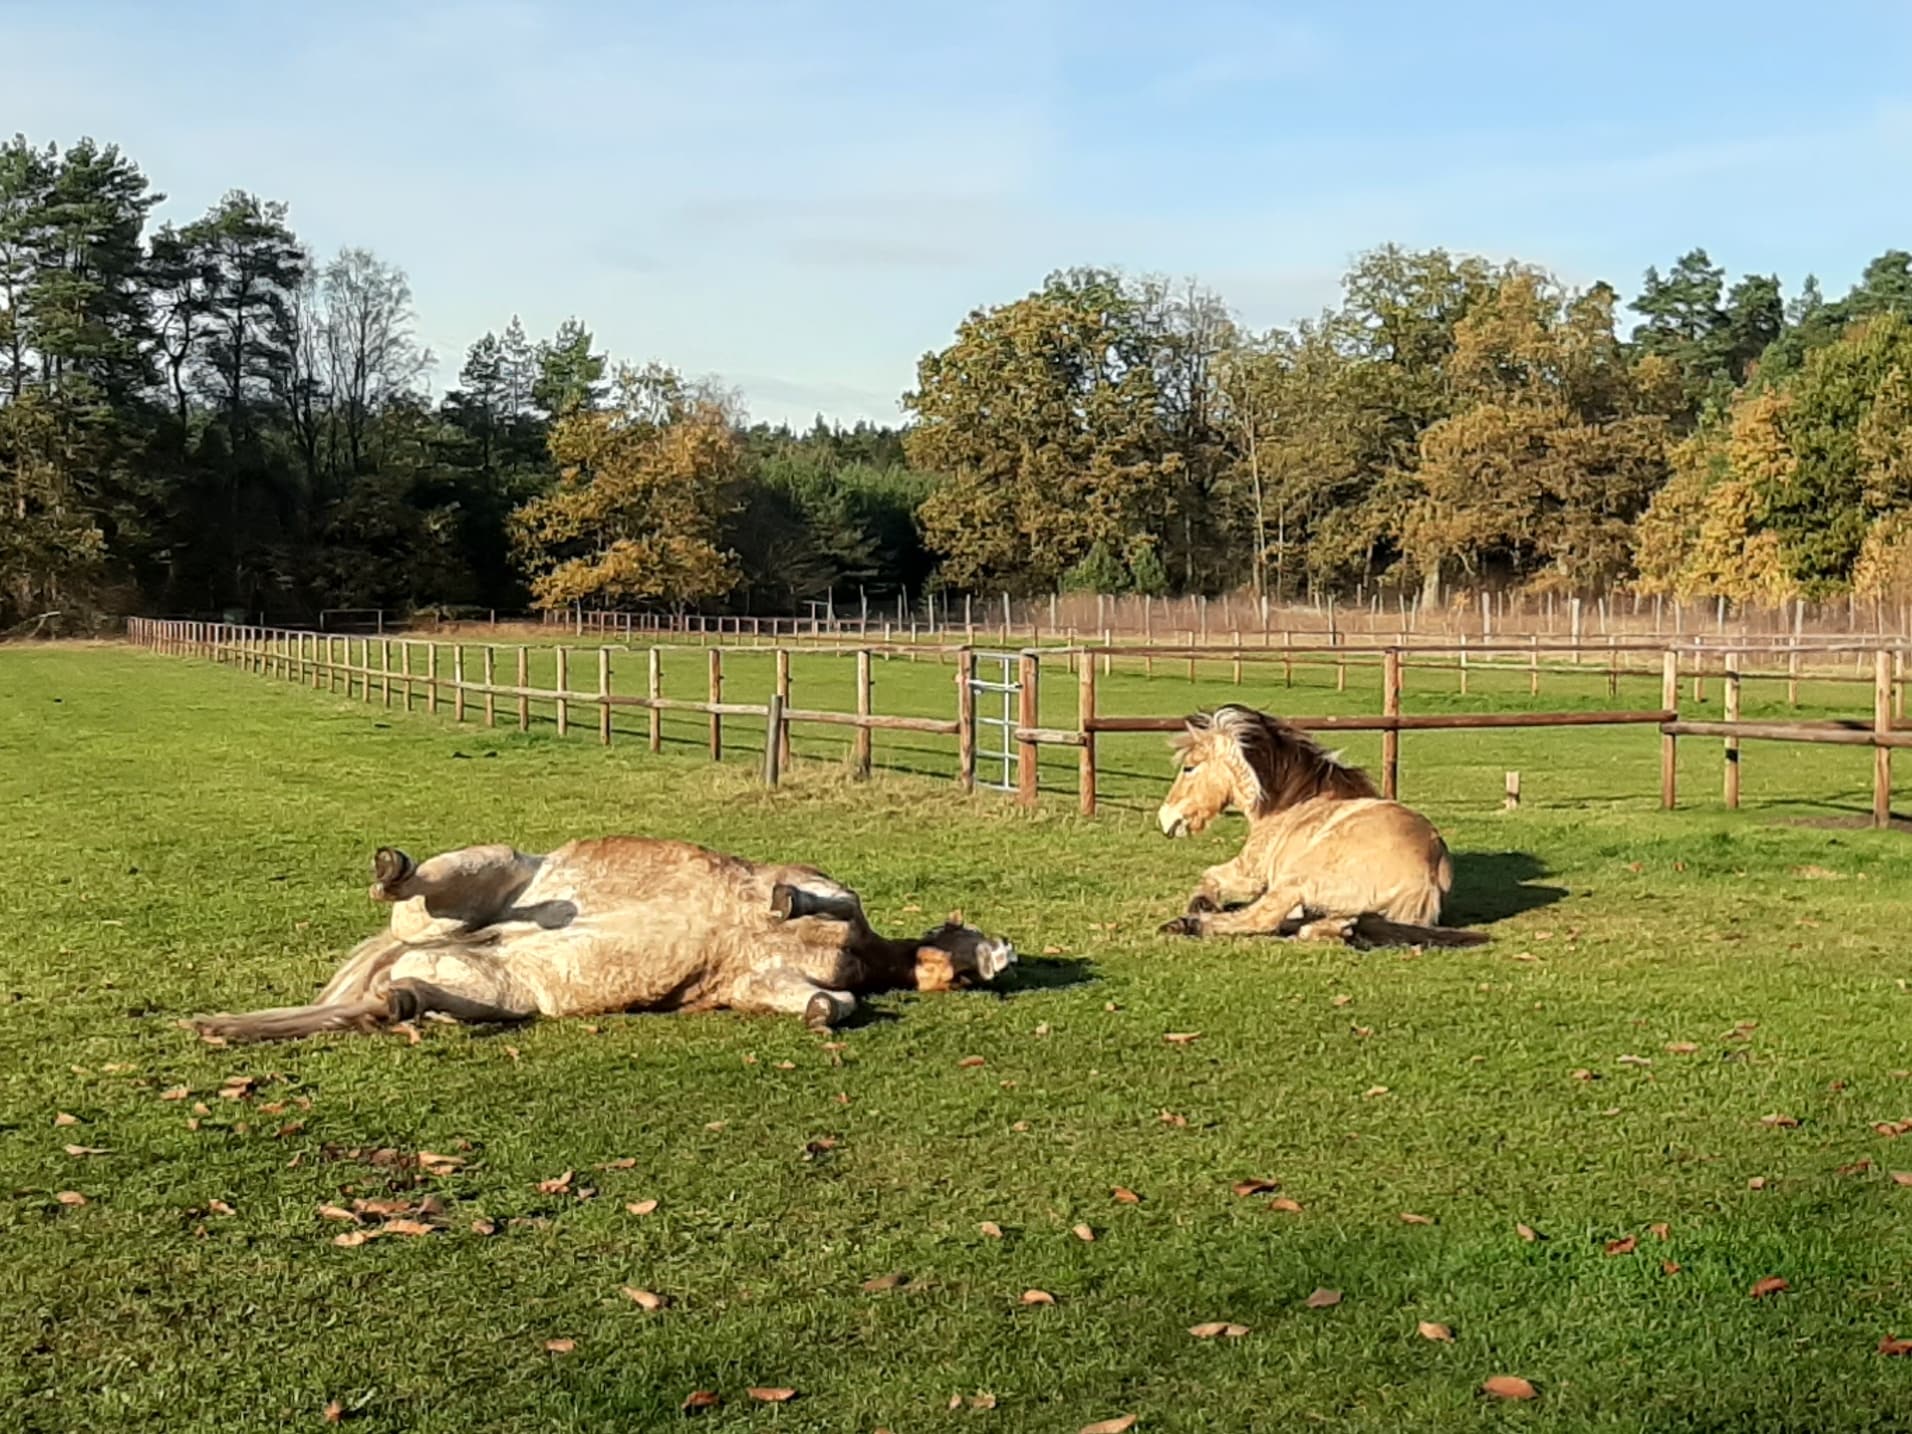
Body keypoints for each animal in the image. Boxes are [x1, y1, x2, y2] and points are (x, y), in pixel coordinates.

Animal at [190, 829, 1017, 1047]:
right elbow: (805, 894)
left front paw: (822, 1014)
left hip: (495, 991)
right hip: (489, 870)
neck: (867, 951)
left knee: (391, 1002)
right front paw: (784, 902)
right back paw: (394, 867)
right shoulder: (823, 887)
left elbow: (827, 1002)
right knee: (407, 886)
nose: (1005, 954)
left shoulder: (763, 983)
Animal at [1147, 703, 1476, 944]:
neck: (1291, 801)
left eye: (1189, 768)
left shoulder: (1250, 872)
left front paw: (1201, 906)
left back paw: (1187, 924)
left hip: (1296, 881)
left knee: (1263, 918)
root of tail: (1427, 878)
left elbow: (1210, 877)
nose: (1166, 819)